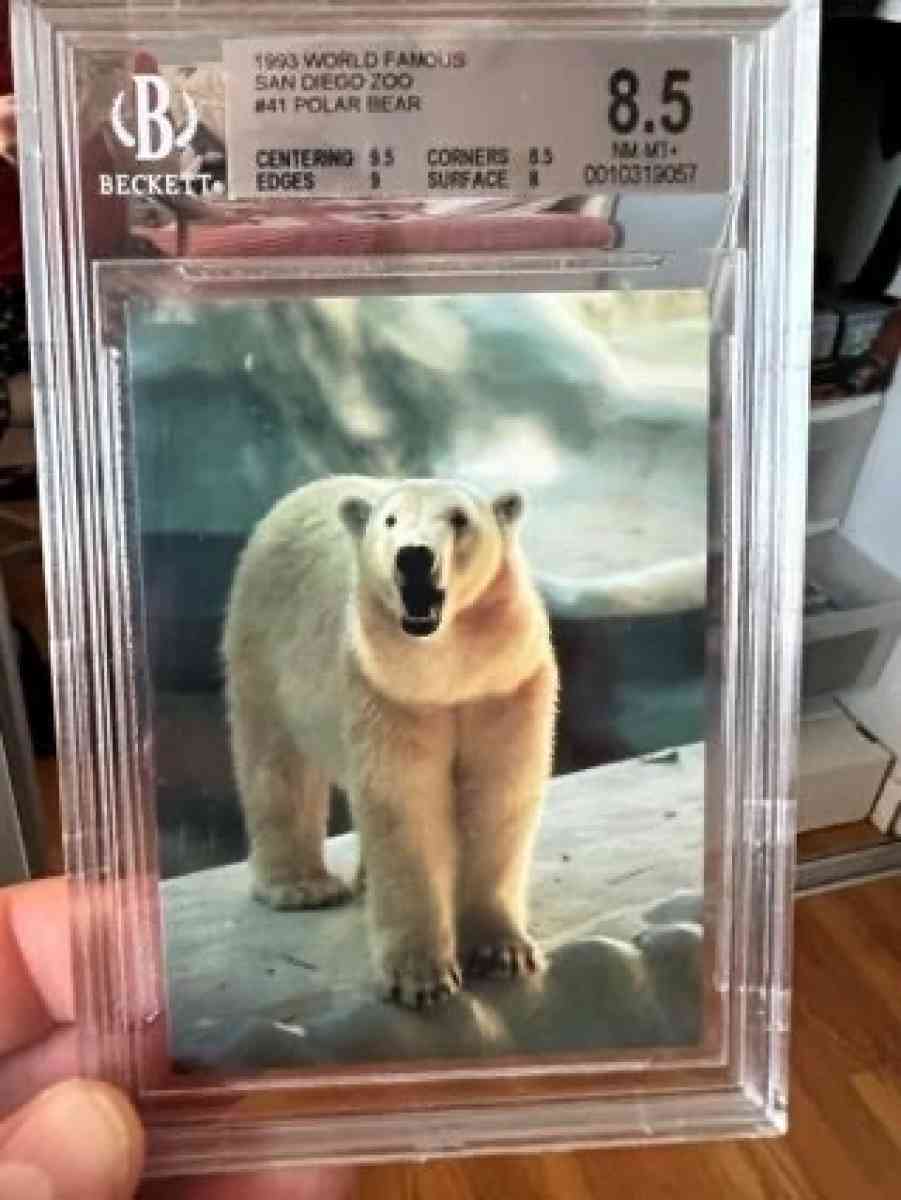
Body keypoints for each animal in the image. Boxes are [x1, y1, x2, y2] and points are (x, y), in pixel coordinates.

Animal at [222, 475, 558, 1008]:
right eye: (390, 520)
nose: (414, 557)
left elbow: (498, 795)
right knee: (277, 767)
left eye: (459, 518)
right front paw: (421, 979)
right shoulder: (388, 689)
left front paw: (502, 953)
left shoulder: (504, 685)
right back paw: (304, 887)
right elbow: (405, 805)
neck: (446, 668)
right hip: (265, 642)